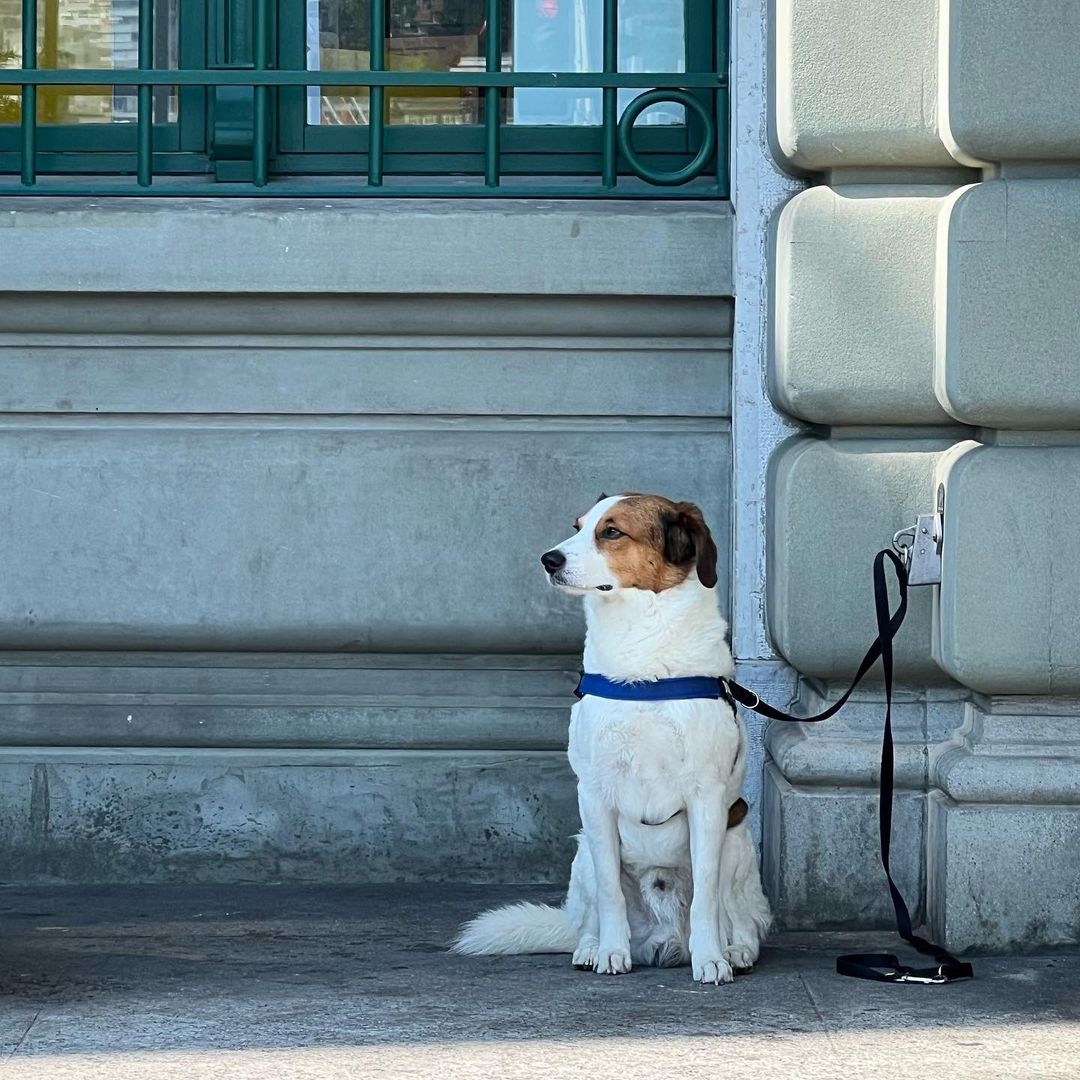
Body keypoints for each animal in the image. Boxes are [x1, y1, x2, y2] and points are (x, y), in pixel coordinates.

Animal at [451, 494, 773, 984]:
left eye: (612, 532)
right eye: (578, 526)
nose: (548, 560)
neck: (642, 661)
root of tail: (663, 941)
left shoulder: (707, 797)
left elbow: (705, 898)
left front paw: (711, 958)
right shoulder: (595, 795)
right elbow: (609, 893)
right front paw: (610, 952)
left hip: (737, 846)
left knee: (740, 917)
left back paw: (734, 950)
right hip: (582, 852)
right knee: (587, 917)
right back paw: (589, 947)